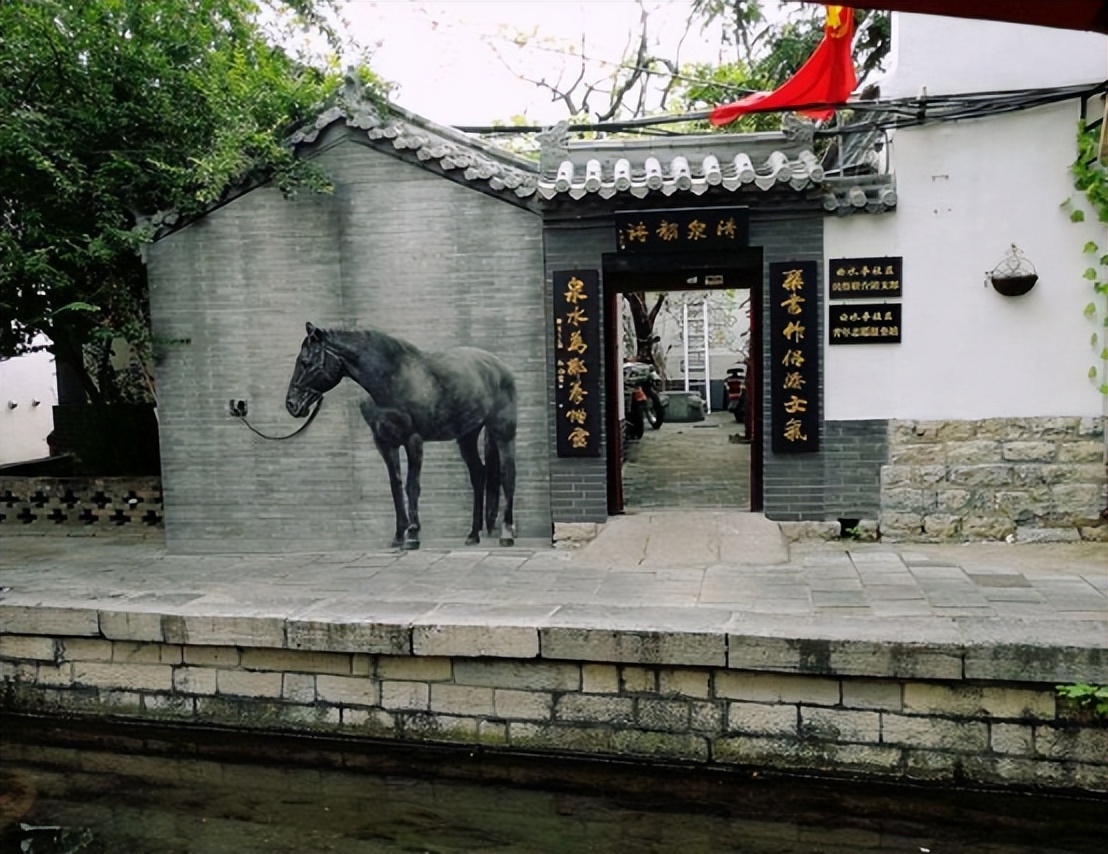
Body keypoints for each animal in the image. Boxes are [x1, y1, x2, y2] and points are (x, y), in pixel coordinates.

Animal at [285, 322, 517, 550]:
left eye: (305, 362)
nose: (291, 404)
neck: (392, 380)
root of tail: (500, 366)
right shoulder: (385, 443)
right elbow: (395, 486)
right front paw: (398, 536)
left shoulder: (413, 440)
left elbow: (411, 486)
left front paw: (413, 535)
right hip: (467, 435)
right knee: (478, 474)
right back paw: (473, 535)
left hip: (503, 431)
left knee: (508, 474)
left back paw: (506, 533)